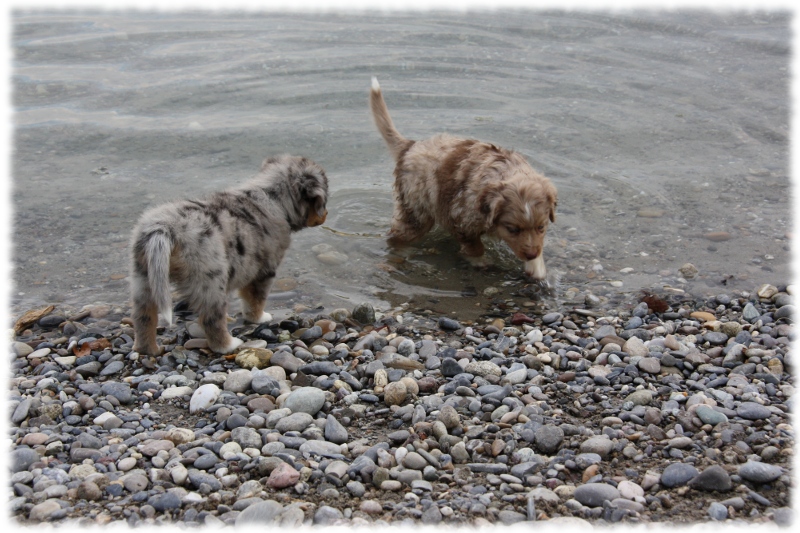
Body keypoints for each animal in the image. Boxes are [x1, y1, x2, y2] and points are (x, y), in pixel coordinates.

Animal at [130, 154, 328, 354]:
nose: (326, 214)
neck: (272, 197)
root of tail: (166, 228)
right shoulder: (265, 271)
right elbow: (255, 301)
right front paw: (259, 318)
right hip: (211, 279)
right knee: (212, 320)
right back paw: (228, 345)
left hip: (144, 278)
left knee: (143, 318)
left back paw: (149, 349)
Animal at [368, 78, 556, 282]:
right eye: (513, 229)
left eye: (541, 227)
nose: (530, 254)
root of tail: (409, 146)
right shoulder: (462, 219)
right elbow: (475, 247)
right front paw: (481, 262)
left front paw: (536, 268)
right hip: (415, 212)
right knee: (398, 237)